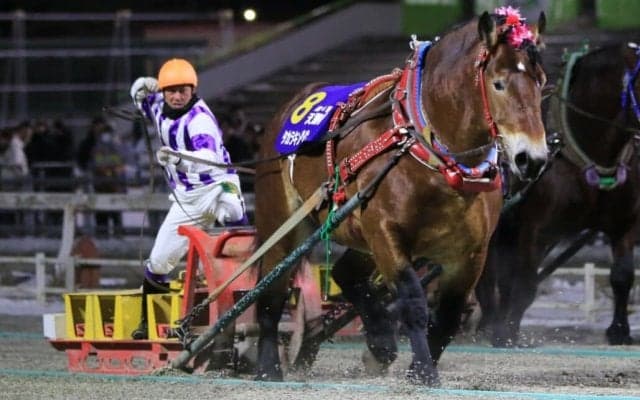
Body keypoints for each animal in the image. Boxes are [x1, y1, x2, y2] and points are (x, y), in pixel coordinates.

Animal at [253, 9, 547, 385]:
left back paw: (380, 342)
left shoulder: (471, 252)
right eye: (498, 83)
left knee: (347, 273)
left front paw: (415, 364)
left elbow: (449, 315)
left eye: (540, 81)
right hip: (284, 225)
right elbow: (413, 302)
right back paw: (267, 367)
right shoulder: (386, 233)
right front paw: (423, 369)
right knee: (270, 292)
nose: (532, 158)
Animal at [476, 42, 640, 347]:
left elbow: (622, 275)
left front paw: (619, 330)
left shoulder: (624, 225)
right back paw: (487, 322)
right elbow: (526, 283)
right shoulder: (537, 229)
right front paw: (507, 331)